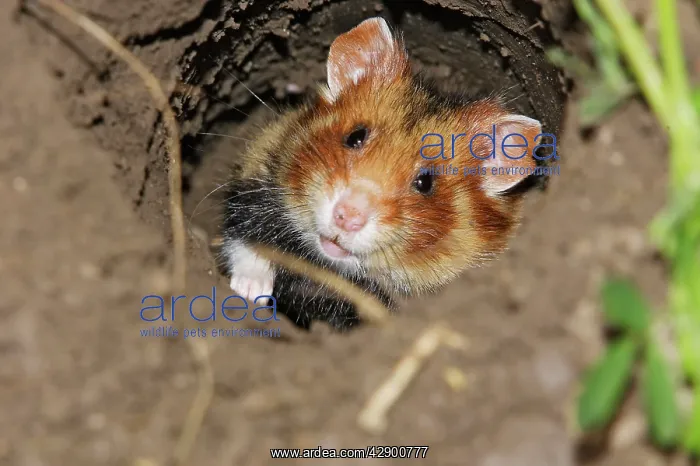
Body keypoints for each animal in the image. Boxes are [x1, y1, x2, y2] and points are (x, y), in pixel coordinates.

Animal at [220, 17, 545, 331]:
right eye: (355, 137)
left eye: (425, 182)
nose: (347, 217)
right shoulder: (259, 170)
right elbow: (244, 233)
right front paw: (250, 292)